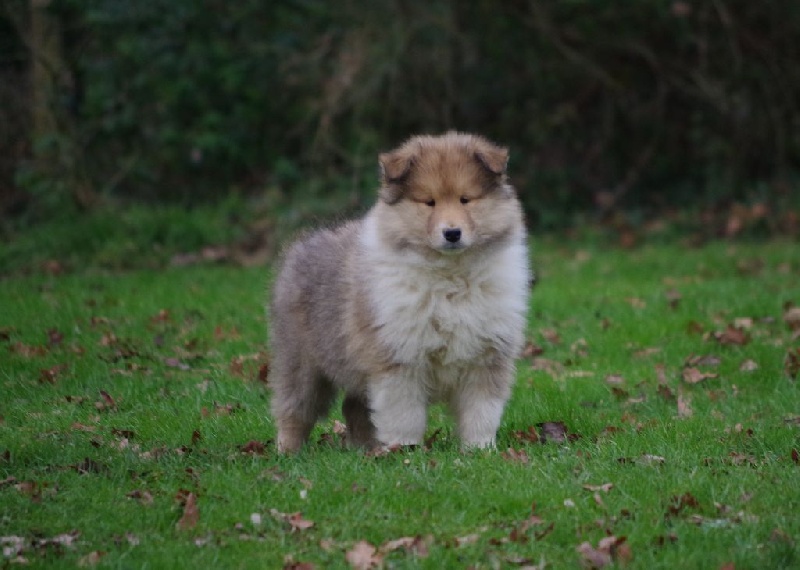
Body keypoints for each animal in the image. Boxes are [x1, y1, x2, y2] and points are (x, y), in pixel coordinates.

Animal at [268, 131, 532, 450]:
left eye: (466, 199)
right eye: (429, 202)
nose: (452, 233)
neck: (449, 278)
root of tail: (302, 244)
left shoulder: (485, 358)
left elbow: (481, 412)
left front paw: (480, 449)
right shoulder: (398, 360)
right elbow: (404, 414)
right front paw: (405, 450)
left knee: (353, 408)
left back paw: (364, 449)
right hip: (301, 361)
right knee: (293, 409)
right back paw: (288, 450)